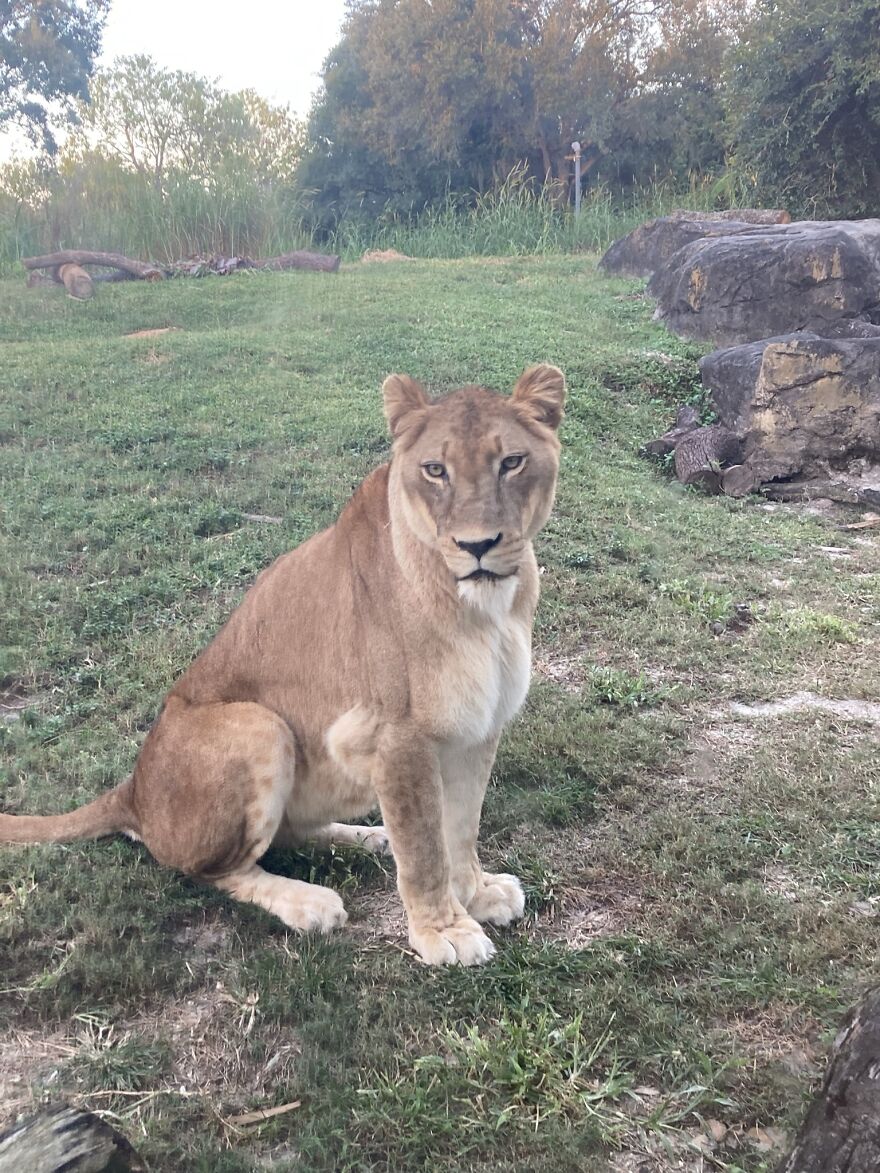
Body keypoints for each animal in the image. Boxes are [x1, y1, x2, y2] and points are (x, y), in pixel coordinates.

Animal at [0, 364, 566, 966]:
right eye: (435, 470)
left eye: (512, 462)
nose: (478, 545)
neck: (487, 608)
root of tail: (132, 790)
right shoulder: (397, 737)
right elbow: (423, 850)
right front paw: (444, 931)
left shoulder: (479, 727)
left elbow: (460, 827)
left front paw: (477, 894)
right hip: (259, 724)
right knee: (211, 869)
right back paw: (308, 902)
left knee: (290, 835)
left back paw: (368, 836)